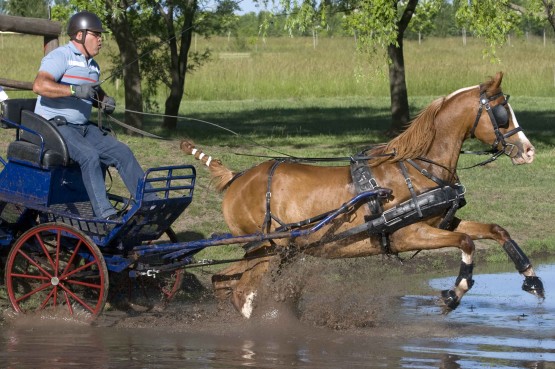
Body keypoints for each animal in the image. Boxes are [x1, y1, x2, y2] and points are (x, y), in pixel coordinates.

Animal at [180, 72, 544, 316]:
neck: (416, 168)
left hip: (276, 252)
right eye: (501, 112)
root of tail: (237, 178)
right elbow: (467, 243)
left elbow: (495, 230)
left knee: (224, 281)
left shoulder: (441, 224)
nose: (528, 151)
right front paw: (453, 293)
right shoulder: (409, 235)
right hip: (267, 249)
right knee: (241, 292)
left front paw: (532, 279)